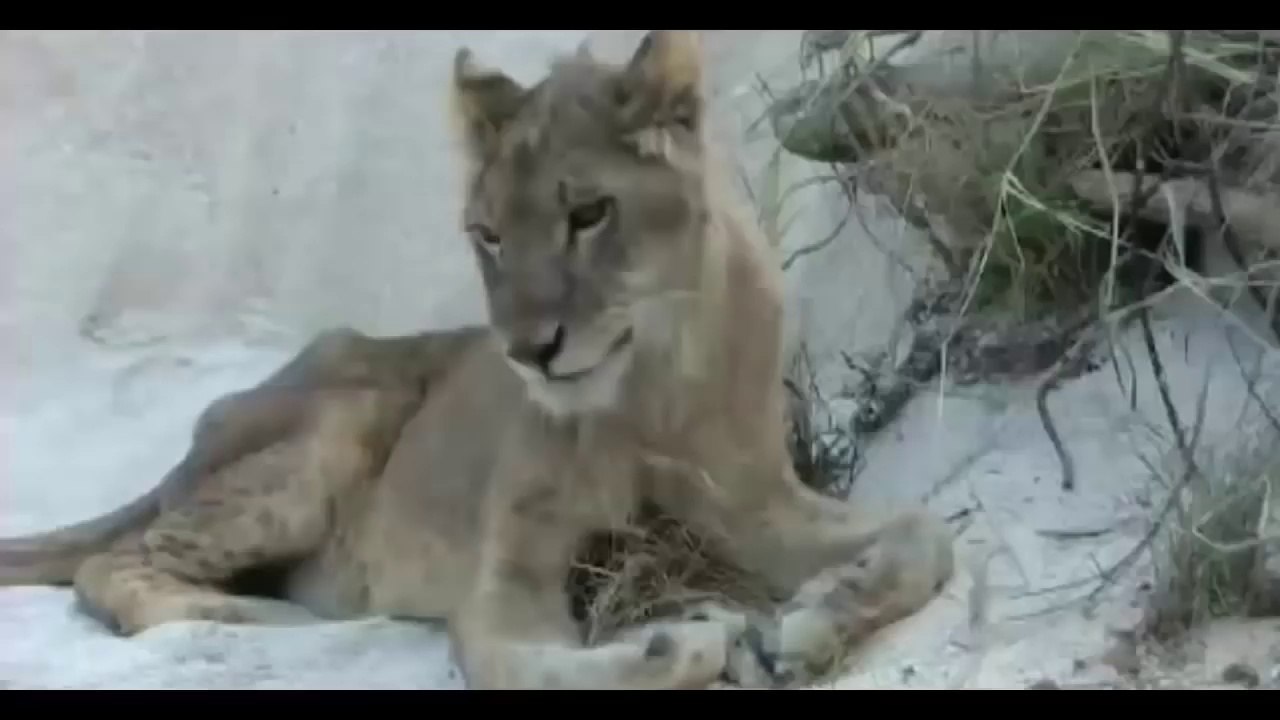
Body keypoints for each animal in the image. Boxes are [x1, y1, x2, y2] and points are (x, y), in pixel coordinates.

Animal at [0, 30, 954, 690]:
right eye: (488, 235)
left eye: (589, 214)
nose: (530, 352)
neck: (645, 389)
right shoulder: (505, 573)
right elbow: (530, 665)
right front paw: (678, 638)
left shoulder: (756, 505)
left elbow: (925, 534)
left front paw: (804, 626)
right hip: (338, 420)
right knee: (112, 561)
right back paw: (238, 610)